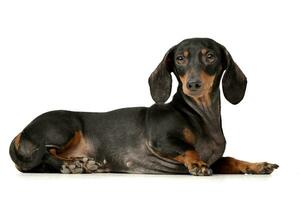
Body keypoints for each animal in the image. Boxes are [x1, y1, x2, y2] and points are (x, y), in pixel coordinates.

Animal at [9, 38, 278, 175]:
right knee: (42, 156)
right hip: (64, 127)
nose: (193, 84)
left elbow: (232, 159)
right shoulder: (160, 140)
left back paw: (83, 163)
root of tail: (22, 131)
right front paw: (197, 163)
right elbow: (189, 149)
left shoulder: (219, 160)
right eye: (180, 59)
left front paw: (255, 165)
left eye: (210, 56)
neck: (199, 115)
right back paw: (72, 165)